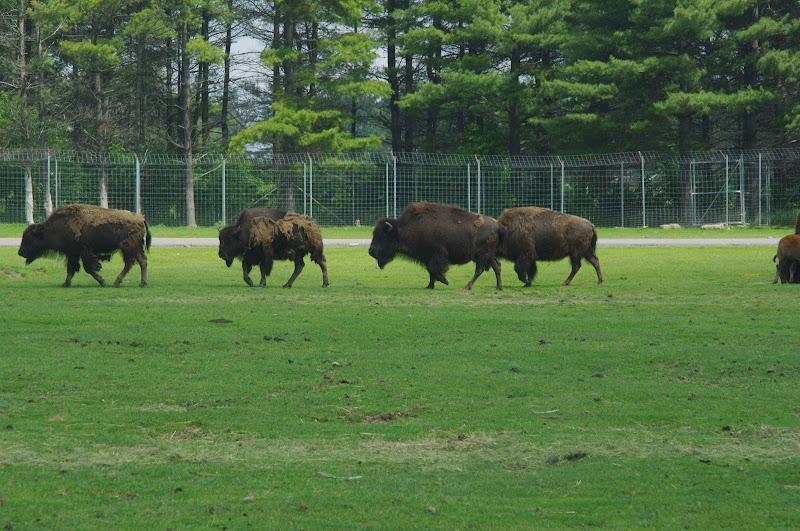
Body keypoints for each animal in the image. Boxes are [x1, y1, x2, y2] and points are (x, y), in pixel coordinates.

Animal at [18, 204, 151, 287]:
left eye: (30, 237)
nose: (20, 252)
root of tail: (141, 218)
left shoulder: (83, 252)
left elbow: (87, 268)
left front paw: (102, 282)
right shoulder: (72, 254)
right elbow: (71, 268)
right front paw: (65, 284)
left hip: (128, 247)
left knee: (130, 263)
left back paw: (117, 283)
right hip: (134, 248)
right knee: (142, 261)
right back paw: (141, 283)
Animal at [368, 201, 504, 290]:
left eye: (382, 236)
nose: (371, 251)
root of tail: (497, 225)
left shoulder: (437, 255)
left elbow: (434, 269)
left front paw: (445, 281)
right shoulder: (427, 256)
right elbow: (430, 271)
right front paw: (429, 286)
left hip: (482, 255)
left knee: (480, 269)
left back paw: (467, 286)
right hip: (488, 255)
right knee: (497, 266)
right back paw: (498, 287)